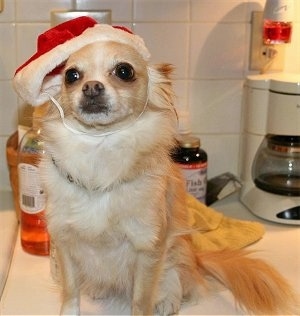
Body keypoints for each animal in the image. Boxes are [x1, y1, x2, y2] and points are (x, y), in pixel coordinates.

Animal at [34, 40, 298, 316]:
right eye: (71, 76)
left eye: (124, 71)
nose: (91, 87)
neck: (99, 151)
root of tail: (196, 258)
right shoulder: (65, 242)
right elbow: (70, 292)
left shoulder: (148, 249)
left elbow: (141, 300)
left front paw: (148, 306)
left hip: (175, 253)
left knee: (179, 281)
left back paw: (167, 301)